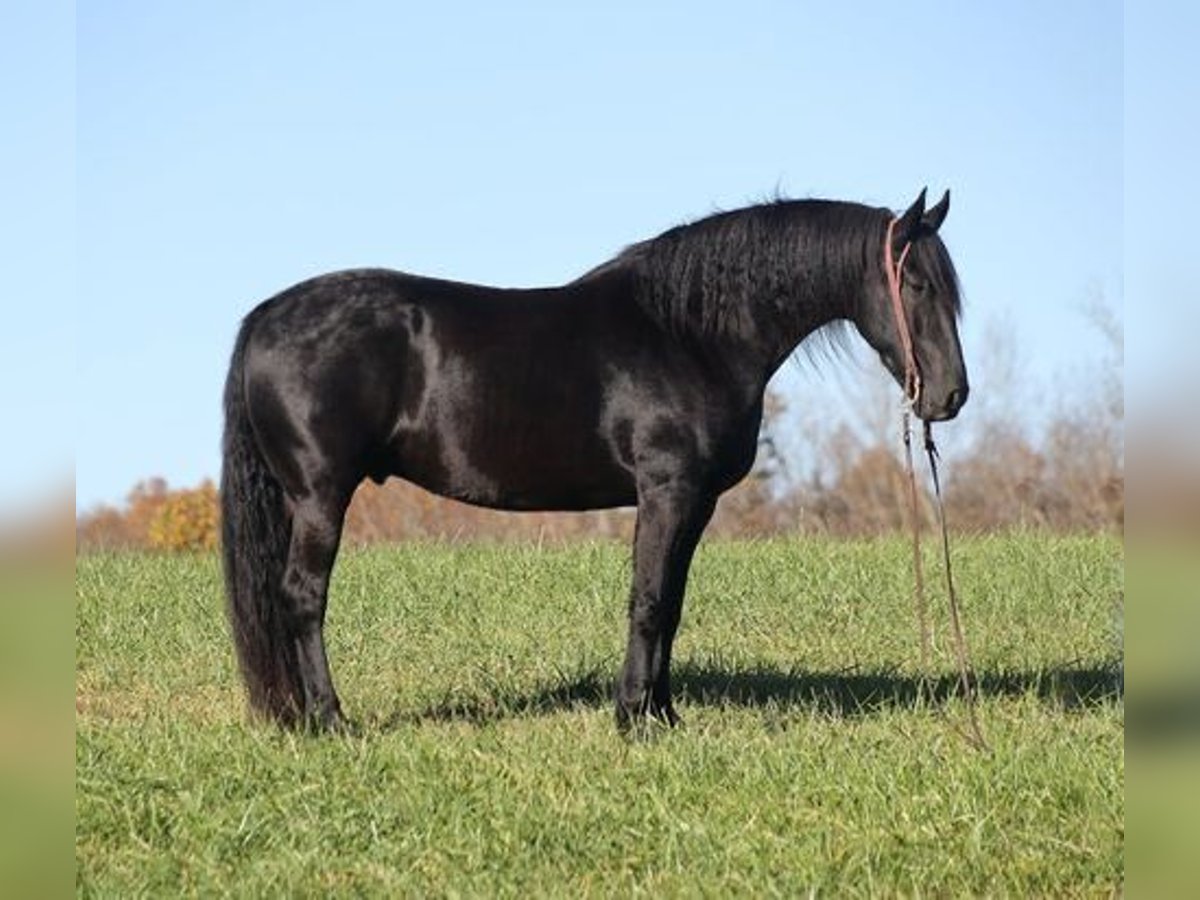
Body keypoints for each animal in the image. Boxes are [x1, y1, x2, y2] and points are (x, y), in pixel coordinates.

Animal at [221, 188, 968, 733]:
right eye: (918, 285)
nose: (951, 395)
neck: (690, 333)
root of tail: (266, 315)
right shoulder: (667, 490)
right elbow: (649, 598)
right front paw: (632, 717)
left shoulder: (695, 502)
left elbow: (671, 602)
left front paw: (663, 714)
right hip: (320, 494)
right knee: (303, 598)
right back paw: (330, 719)